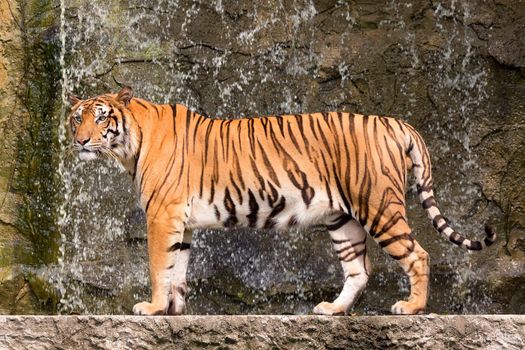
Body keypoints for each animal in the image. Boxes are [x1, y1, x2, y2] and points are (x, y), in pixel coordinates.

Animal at [67, 86, 494, 316]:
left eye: (101, 118)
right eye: (76, 118)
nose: (80, 140)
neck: (129, 145)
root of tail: (396, 122)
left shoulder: (162, 215)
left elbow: (159, 267)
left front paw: (153, 309)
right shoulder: (180, 222)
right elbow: (177, 270)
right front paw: (173, 311)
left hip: (379, 206)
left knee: (418, 255)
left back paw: (411, 308)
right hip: (343, 220)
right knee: (359, 270)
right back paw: (332, 310)